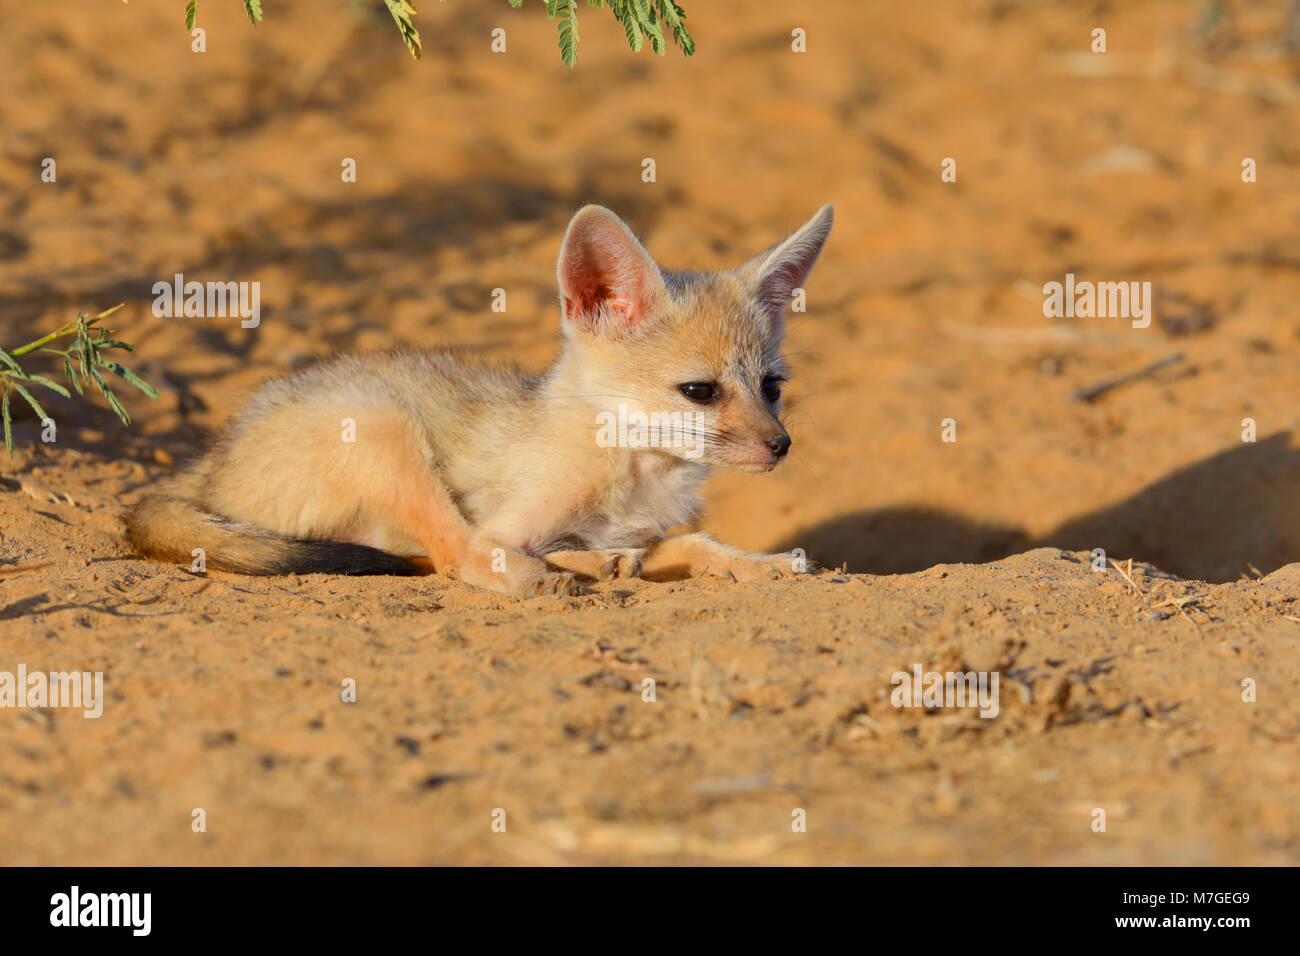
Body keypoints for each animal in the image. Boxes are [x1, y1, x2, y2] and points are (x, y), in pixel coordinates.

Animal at [125, 203, 834, 597]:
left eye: (772, 387)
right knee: (452, 554)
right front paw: (567, 566)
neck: (630, 475)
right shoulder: (511, 520)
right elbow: (486, 546)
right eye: (699, 392)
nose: (781, 446)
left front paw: (761, 564)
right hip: (384, 431)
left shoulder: (649, 529)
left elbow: (696, 544)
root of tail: (216, 459)